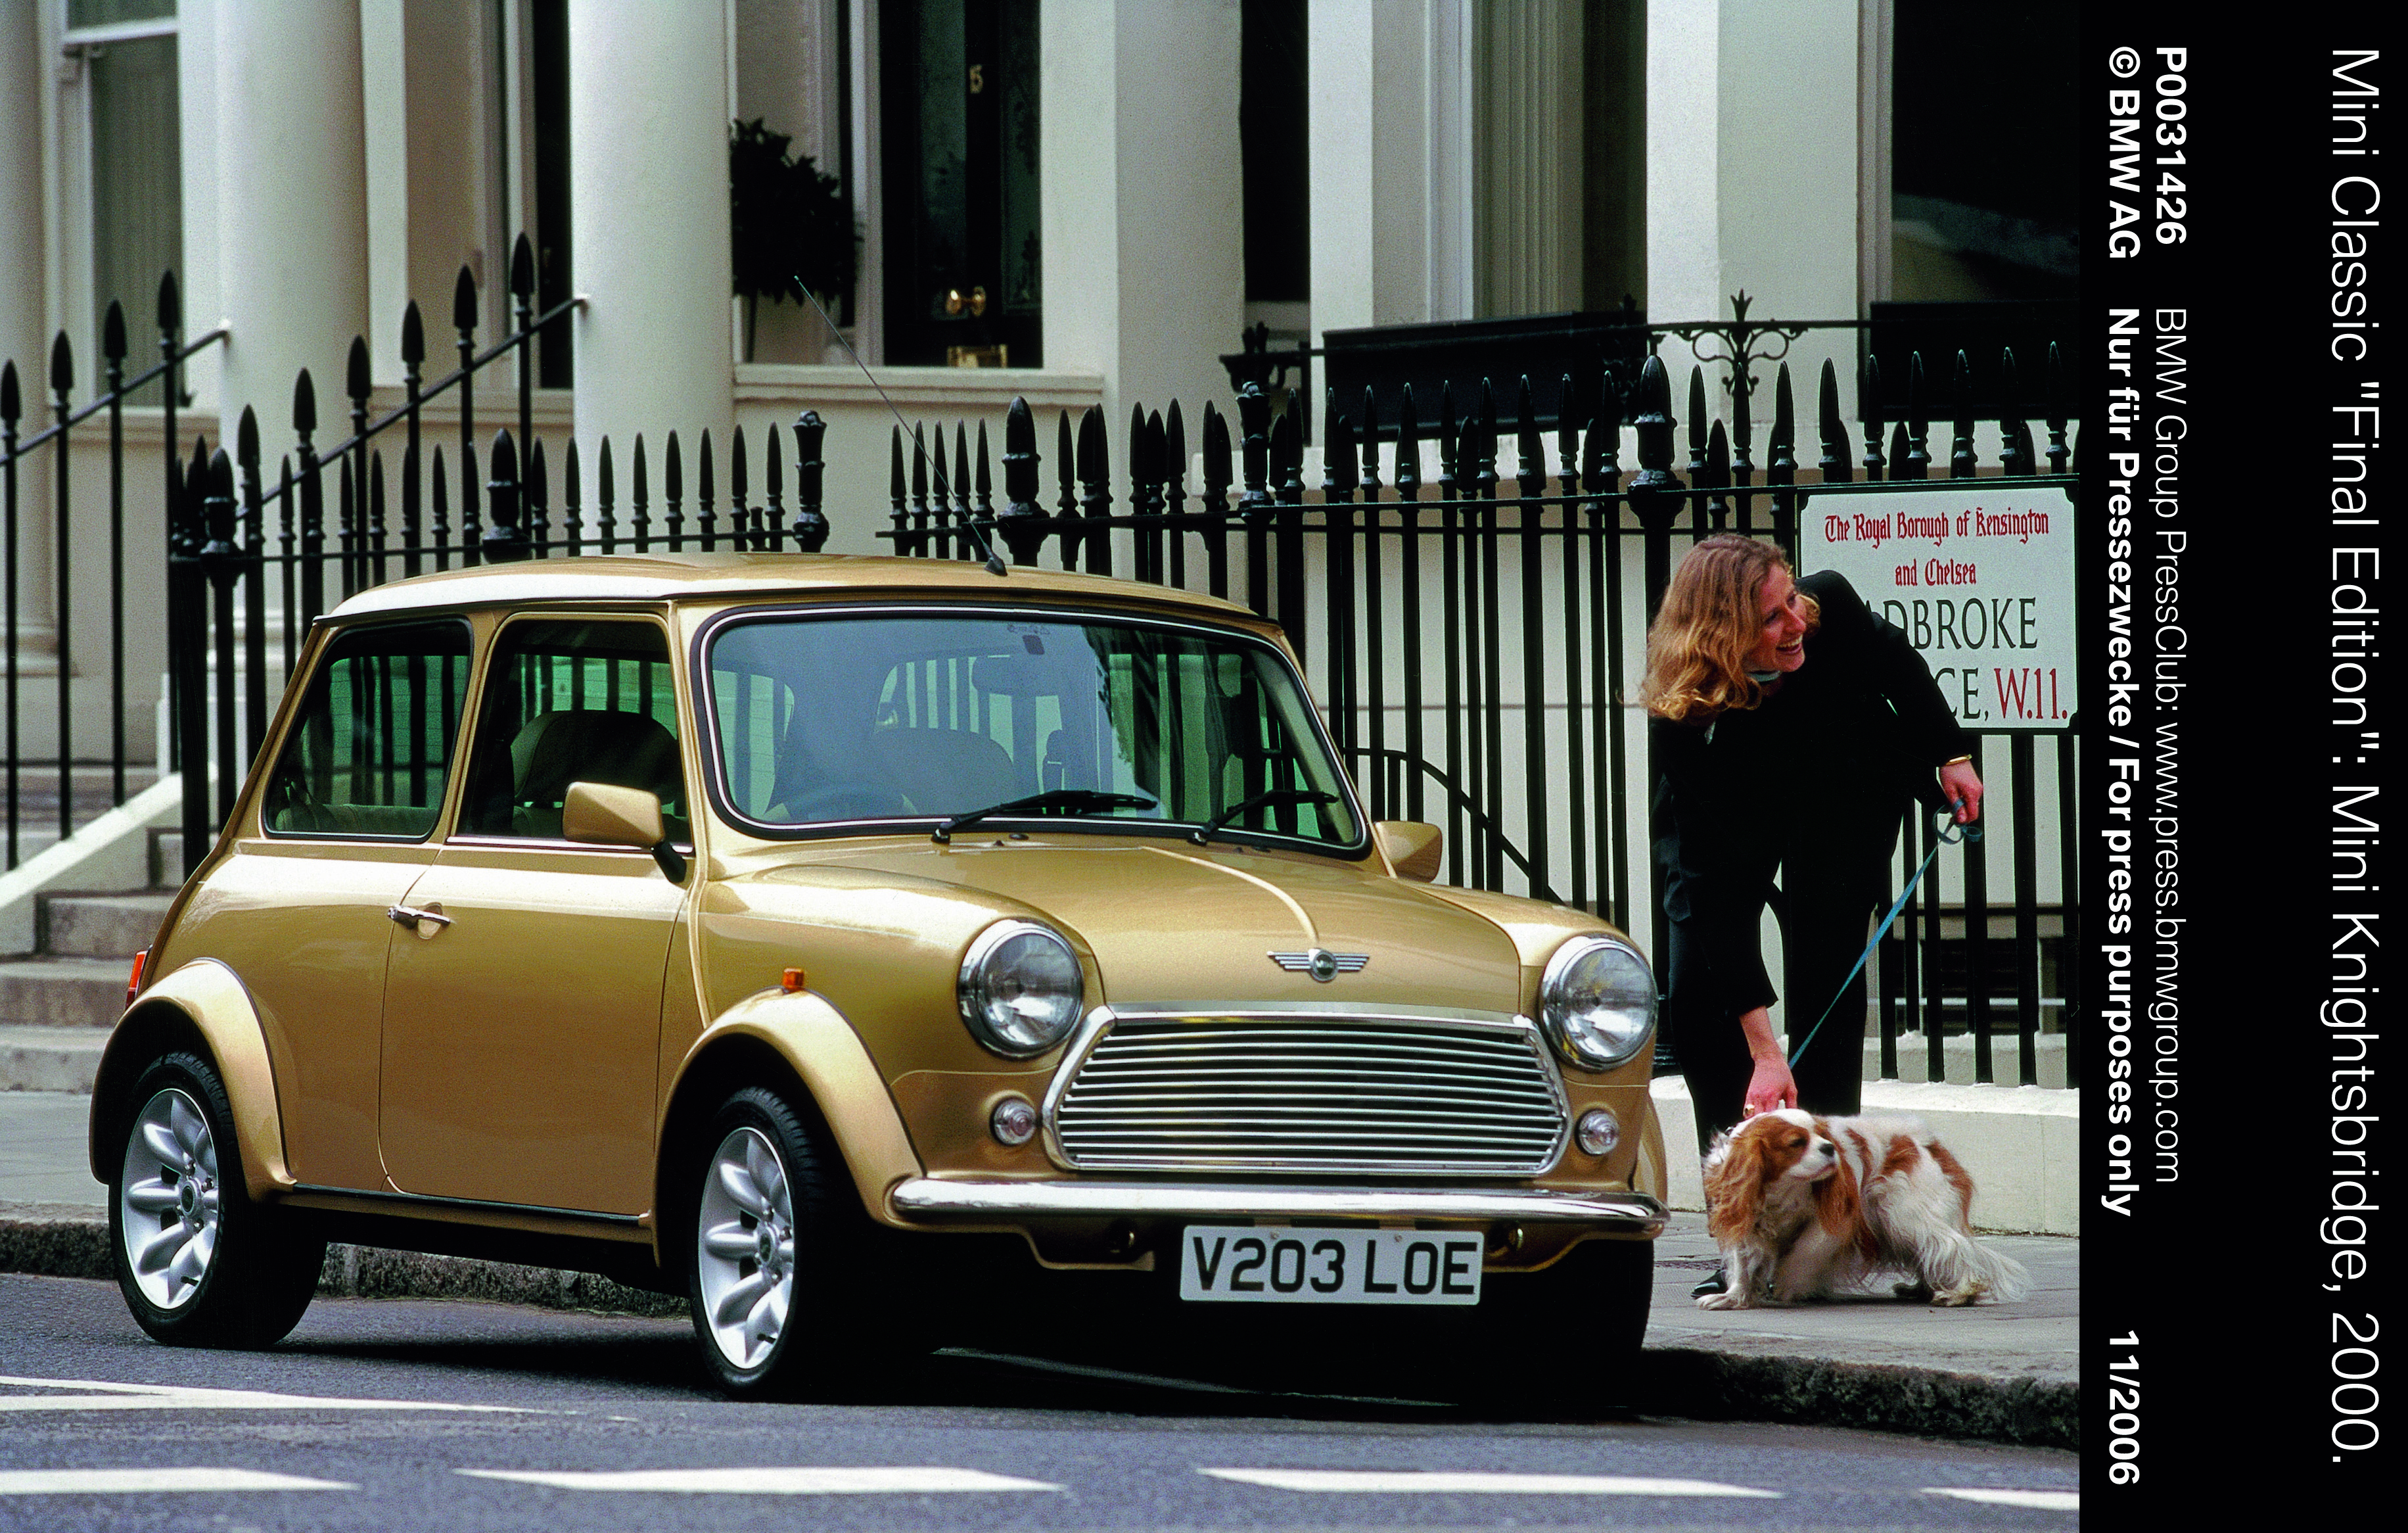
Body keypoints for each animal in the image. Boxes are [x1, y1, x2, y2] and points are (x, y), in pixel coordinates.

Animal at [1695, 1108, 2032, 1311]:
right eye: (1796, 1143)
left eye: (1824, 1137)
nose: (1829, 1148)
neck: (1782, 1188)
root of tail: (1927, 1141)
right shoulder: (1742, 1212)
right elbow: (1742, 1261)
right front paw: (1733, 1296)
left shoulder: (1833, 1221)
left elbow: (1801, 1253)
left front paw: (1787, 1284)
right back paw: (1922, 1289)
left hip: (1902, 1212)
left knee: (1951, 1245)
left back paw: (1960, 1292)